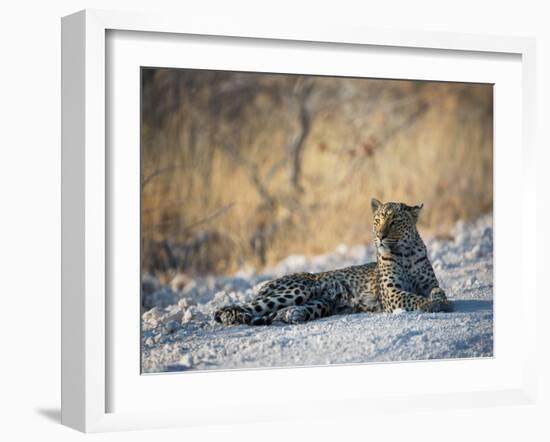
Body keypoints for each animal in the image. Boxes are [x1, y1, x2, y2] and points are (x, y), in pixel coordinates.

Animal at [215, 199, 452, 326]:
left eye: (394, 222)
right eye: (377, 221)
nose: (380, 236)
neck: (406, 253)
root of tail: (265, 285)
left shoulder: (429, 283)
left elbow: (438, 290)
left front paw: (441, 301)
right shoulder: (391, 293)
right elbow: (412, 297)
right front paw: (430, 304)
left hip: (321, 302)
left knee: (277, 312)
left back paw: (293, 314)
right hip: (296, 290)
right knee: (237, 308)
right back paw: (233, 316)